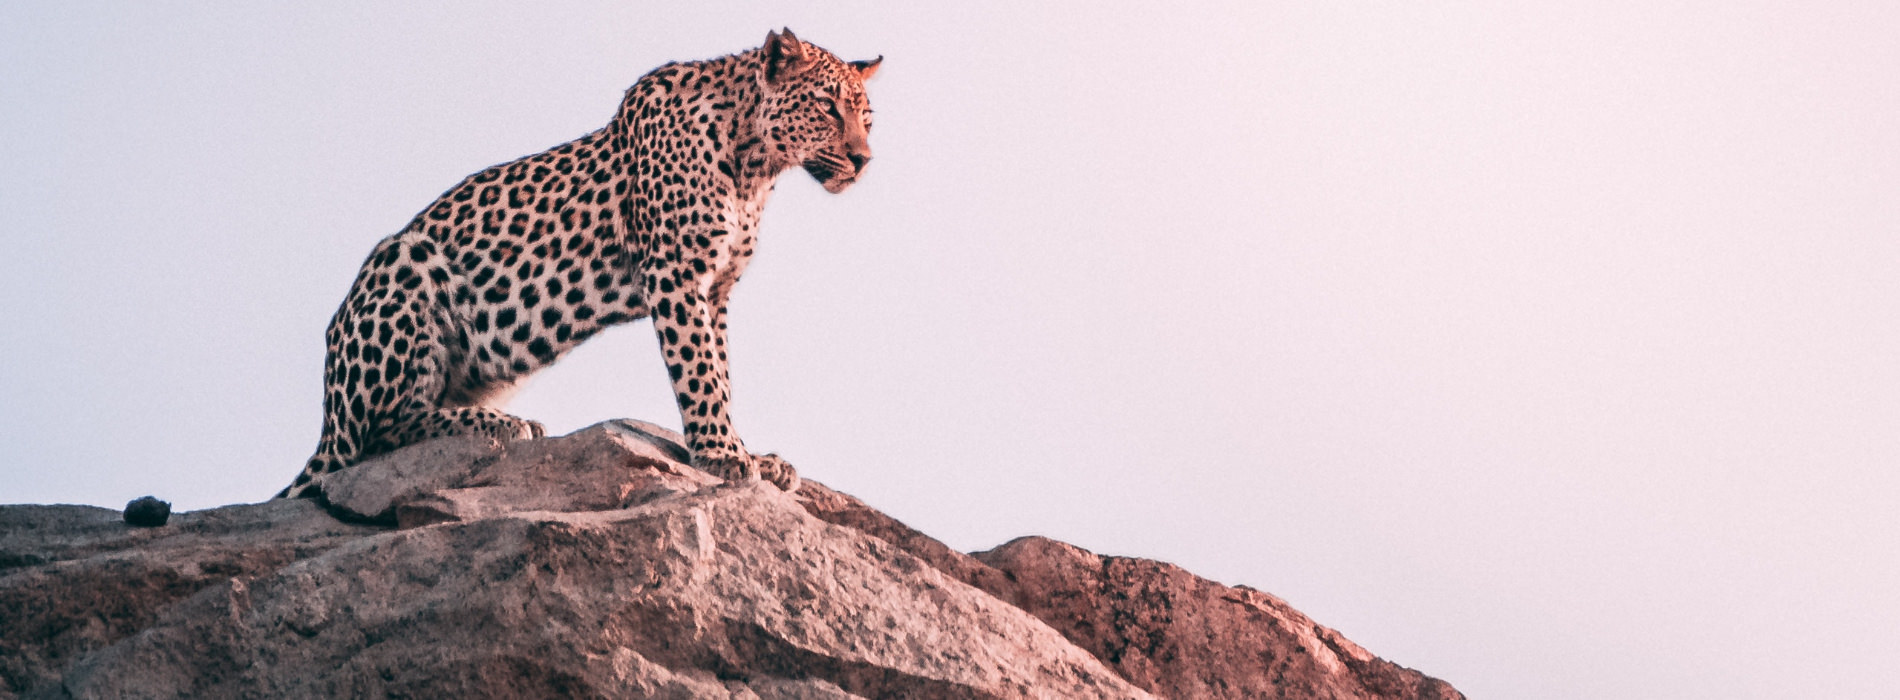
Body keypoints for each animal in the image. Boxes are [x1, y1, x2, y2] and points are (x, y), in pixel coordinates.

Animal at [275, 29, 879, 499]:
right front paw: (722, 454)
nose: (863, 160)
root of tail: (327, 420)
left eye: (867, 118)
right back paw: (503, 425)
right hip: (404, 261)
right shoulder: (675, 274)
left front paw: (750, 452)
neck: (755, 165)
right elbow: (699, 370)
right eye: (827, 107)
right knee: (375, 436)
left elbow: (722, 371)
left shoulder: (716, 290)